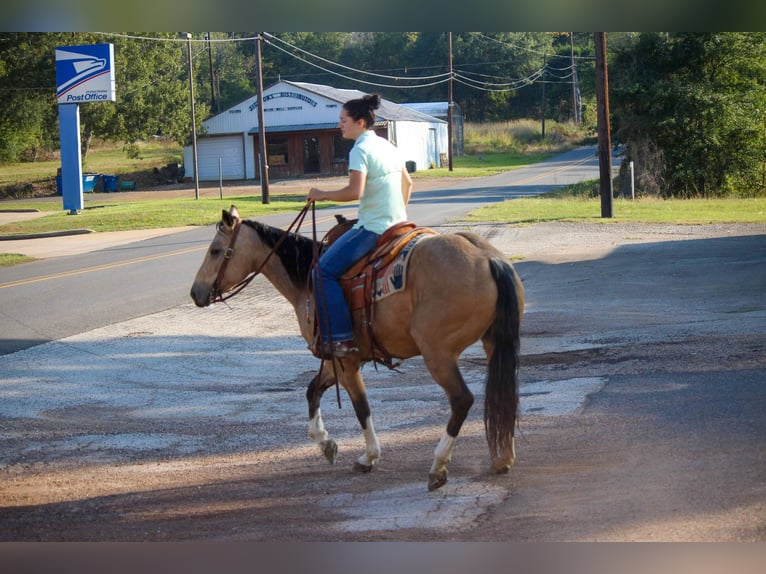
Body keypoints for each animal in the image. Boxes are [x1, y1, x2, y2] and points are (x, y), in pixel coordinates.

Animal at [192, 205, 524, 492]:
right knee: (503, 394)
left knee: (462, 400)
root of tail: (488, 258)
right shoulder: (334, 359)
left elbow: (360, 406)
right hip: (494, 344)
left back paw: (438, 466)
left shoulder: (346, 362)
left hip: (438, 354)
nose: (195, 292)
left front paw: (368, 456)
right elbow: (312, 391)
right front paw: (326, 444)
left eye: (215, 250)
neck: (307, 281)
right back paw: (503, 457)